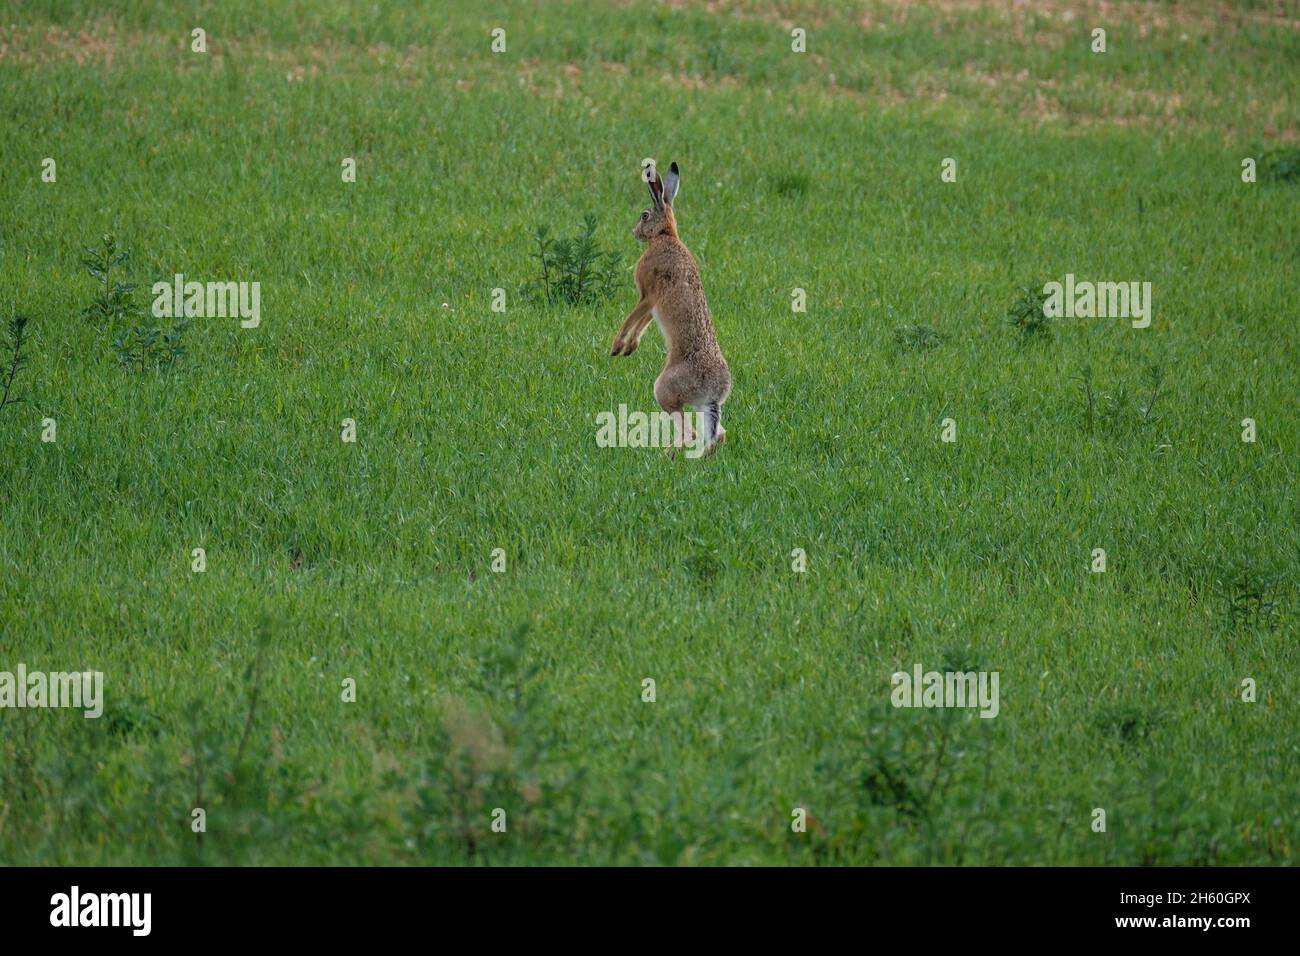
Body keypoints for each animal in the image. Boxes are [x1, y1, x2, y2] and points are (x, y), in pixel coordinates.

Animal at [610, 160, 731, 457]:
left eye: (644, 216)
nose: (634, 232)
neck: (666, 236)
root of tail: (715, 391)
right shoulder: (652, 305)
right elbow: (642, 323)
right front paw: (629, 349)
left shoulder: (648, 296)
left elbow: (632, 318)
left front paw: (617, 347)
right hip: (700, 406)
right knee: (718, 434)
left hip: (664, 389)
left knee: (691, 433)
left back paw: (667, 453)